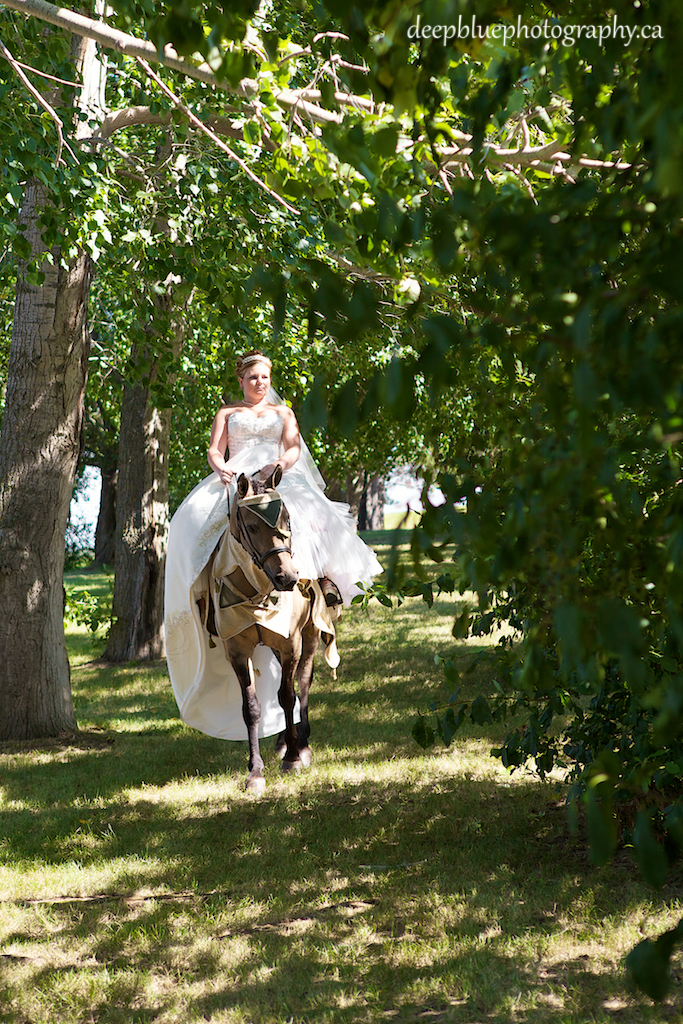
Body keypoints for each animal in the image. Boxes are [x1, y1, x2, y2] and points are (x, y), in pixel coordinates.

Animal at [204, 468, 339, 794]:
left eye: (288, 520)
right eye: (252, 527)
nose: (288, 577)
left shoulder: (291, 645)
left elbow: (288, 696)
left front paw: (293, 758)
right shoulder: (238, 651)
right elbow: (251, 708)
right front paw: (255, 772)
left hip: (309, 638)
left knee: (303, 683)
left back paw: (301, 743)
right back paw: (282, 742)